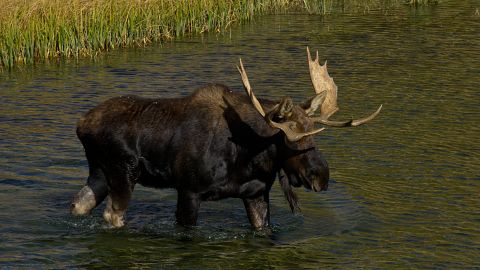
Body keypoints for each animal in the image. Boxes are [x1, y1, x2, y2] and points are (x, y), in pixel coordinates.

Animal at [70, 47, 382, 229]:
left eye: (315, 135)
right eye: (292, 139)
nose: (321, 176)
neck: (248, 157)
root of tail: (81, 124)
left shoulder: (256, 194)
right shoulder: (188, 190)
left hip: (99, 172)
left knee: (78, 205)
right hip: (124, 172)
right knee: (113, 215)